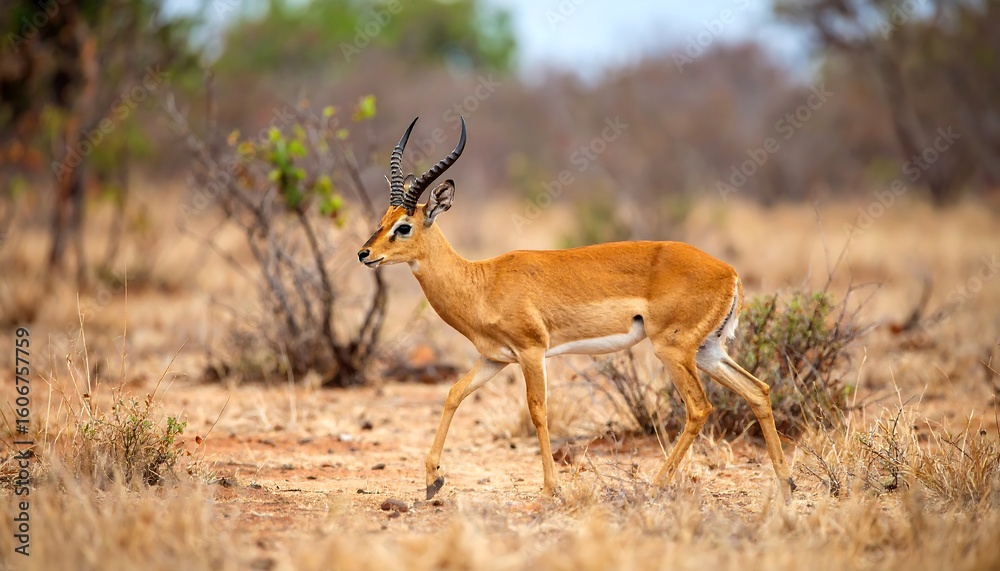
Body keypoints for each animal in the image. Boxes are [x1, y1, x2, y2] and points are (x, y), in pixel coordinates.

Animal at [358, 117, 795, 502]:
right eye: (383, 218)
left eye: (404, 227)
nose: (364, 254)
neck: (483, 282)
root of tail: (730, 273)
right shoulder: (494, 358)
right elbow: (453, 394)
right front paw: (433, 481)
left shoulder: (532, 352)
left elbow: (538, 411)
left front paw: (551, 488)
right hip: (708, 351)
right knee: (758, 390)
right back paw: (786, 483)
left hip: (673, 350)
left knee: (700, 408)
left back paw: (656, 485)